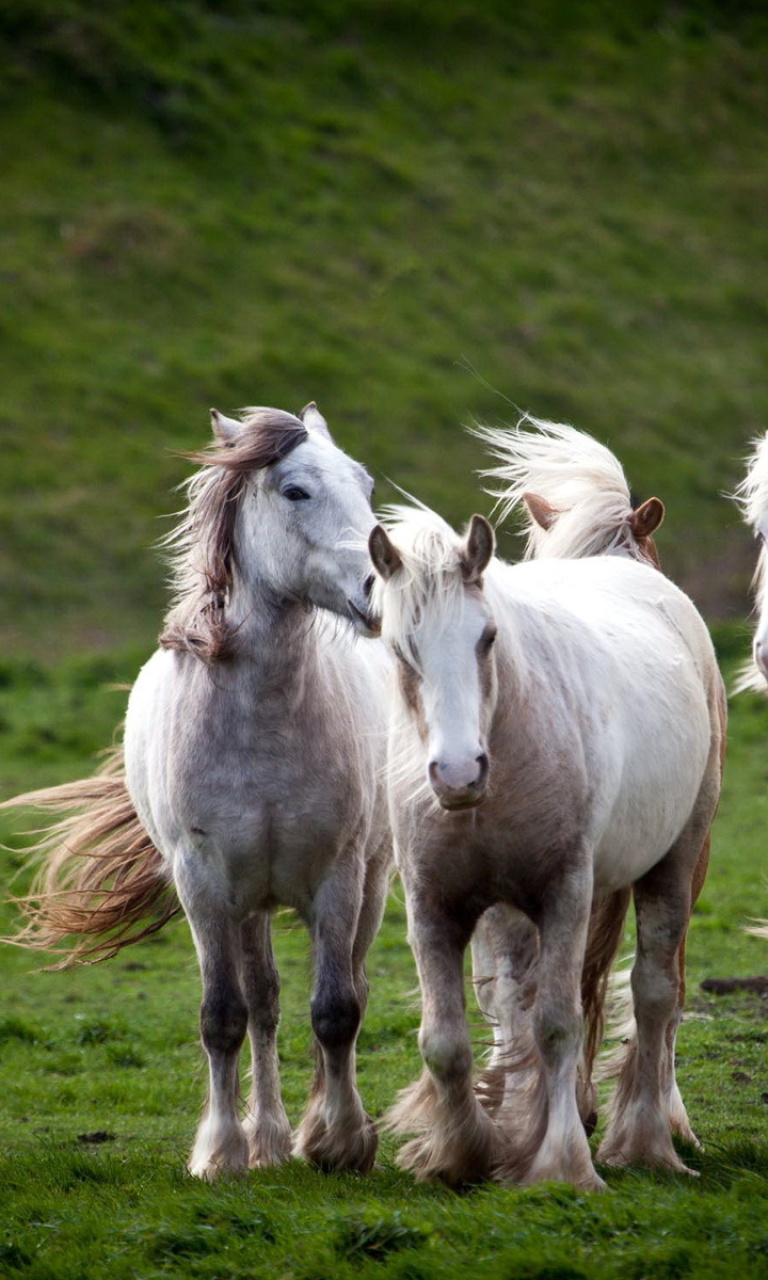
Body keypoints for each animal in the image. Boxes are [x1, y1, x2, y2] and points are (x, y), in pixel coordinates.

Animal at [3, 401, 389, 1177]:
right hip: (248, 905)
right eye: (295, 490)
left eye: (364, 484)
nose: (378, 590)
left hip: (371, 880)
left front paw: (340, 1141)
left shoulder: (338, 875)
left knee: (340, 989)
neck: (263, 721)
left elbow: (337, 1009)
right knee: (263, 1004)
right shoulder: (203, 883)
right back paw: (267, 1139)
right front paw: (222, 1152)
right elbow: (224, 1016)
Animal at [371, 422, 727, 1187]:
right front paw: (464, 1152)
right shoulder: (435, 905)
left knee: (655, 991)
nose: (456, 772)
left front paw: (561, 1161)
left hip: (675, 862)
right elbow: (449, 1039)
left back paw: (643, 1140)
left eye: (487, 638)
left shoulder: (566, 892)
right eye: (400, 649)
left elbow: (559, 1022)